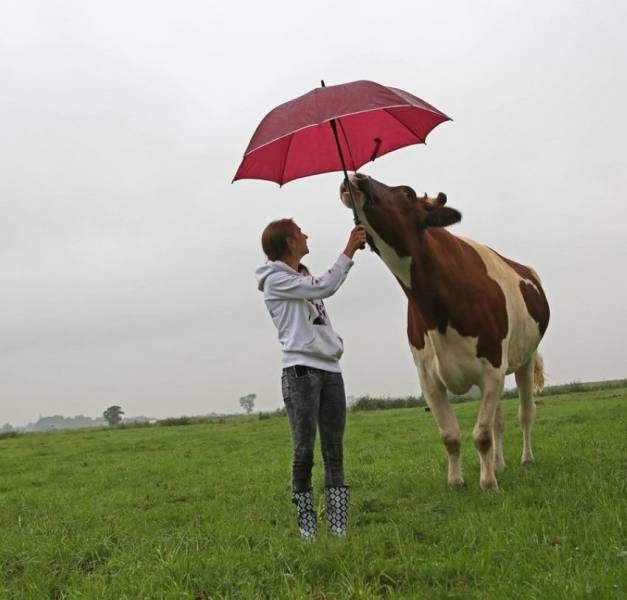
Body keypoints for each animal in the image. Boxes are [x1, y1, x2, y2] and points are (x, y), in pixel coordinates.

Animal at [340, 171, 552, 490]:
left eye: (407, 194)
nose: (356, 176)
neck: (438, 308)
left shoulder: (492, 368)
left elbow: (481, 434)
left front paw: (487, 484)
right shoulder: (429, 378)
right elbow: (451, 435)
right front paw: (456, 481)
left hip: (525, 359)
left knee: (526, 413)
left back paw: (525, 459)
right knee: (499, 420)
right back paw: (499, 464)